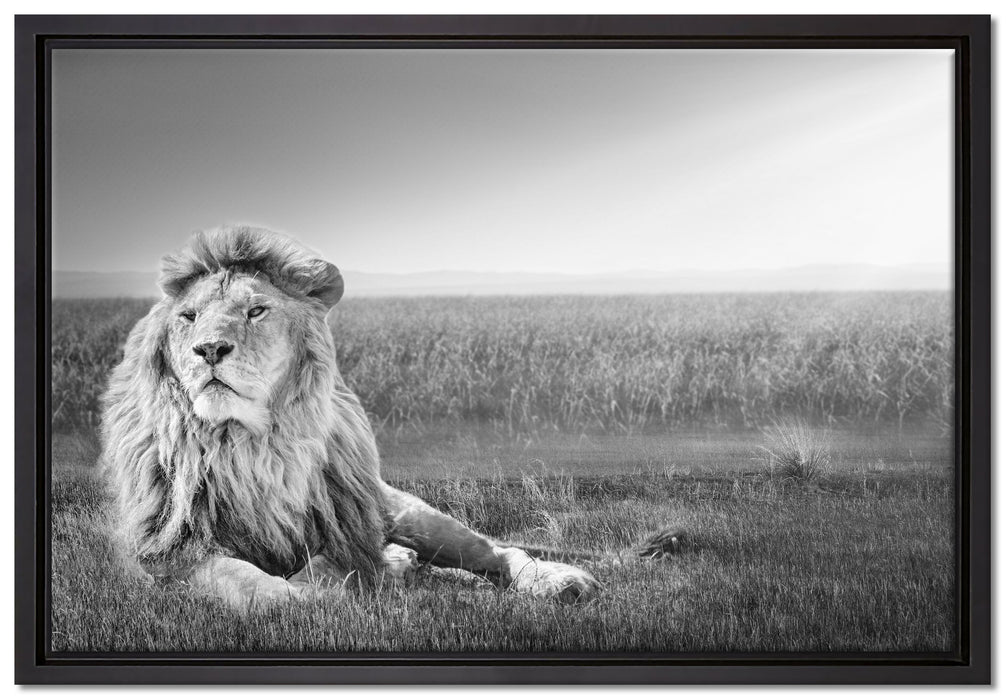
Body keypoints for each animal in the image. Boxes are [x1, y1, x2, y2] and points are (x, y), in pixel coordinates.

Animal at [101, 225, 677, 609]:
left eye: (256, 310)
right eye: (188, 317)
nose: (209, 350)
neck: (249, 444)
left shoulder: (344, 527)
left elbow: (325, 569)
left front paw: (351, 577)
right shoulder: (169, 552)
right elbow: (251, 584)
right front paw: (316, 592)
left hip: (410, 514)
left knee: (497, 552)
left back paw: (556, 580)